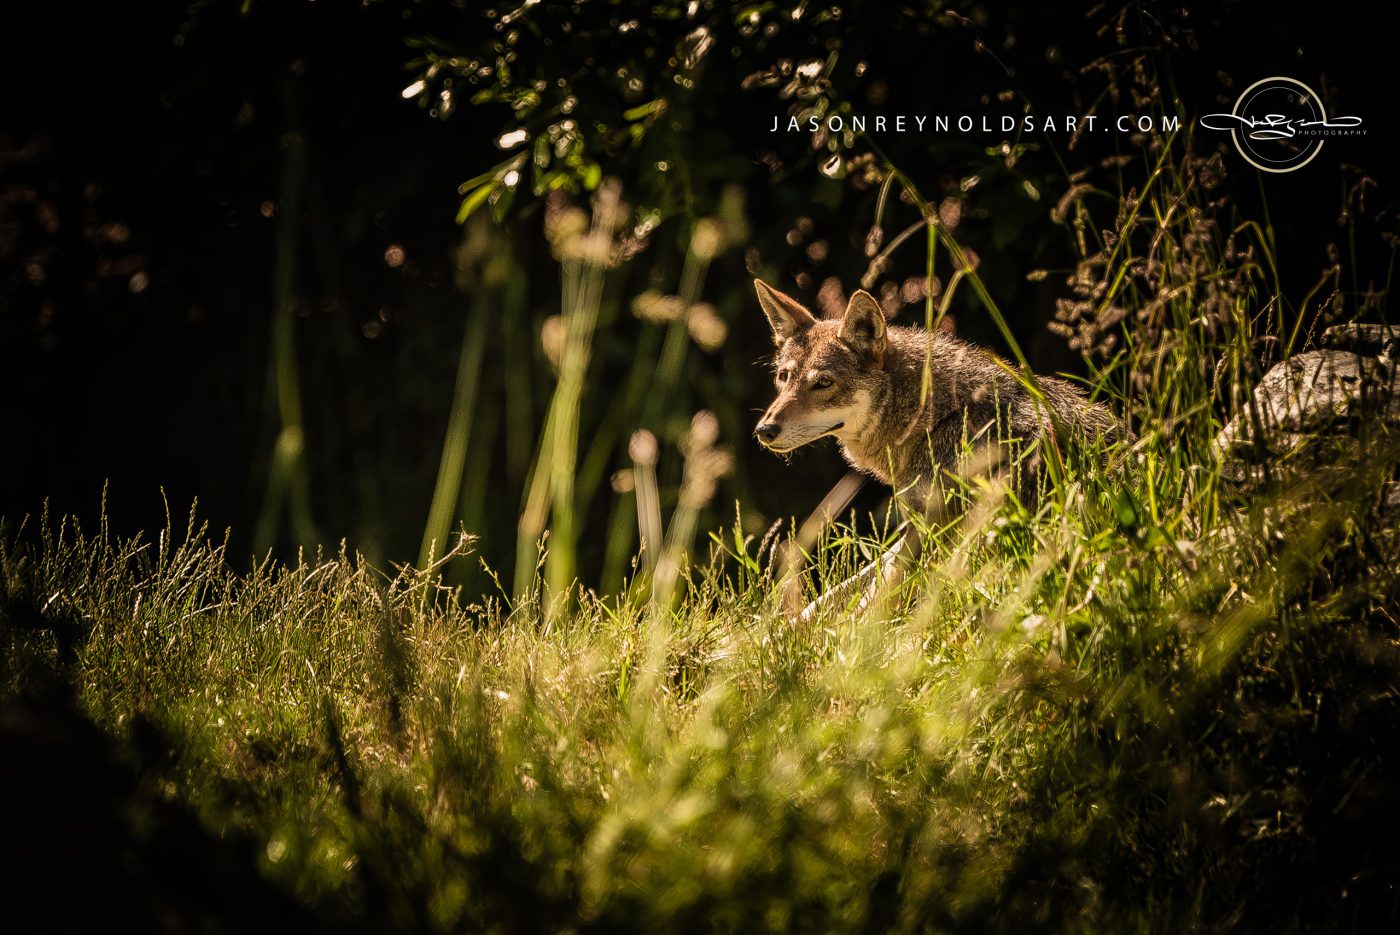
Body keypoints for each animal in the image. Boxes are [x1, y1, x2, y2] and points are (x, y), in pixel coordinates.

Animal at [752, 278, 1119, 617]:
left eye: (824, 383)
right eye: (784, 378)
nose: (764, 430)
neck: (937, 416)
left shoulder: (930, 534)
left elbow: (865, 611)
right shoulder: (915, 530)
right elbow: (832, 597)